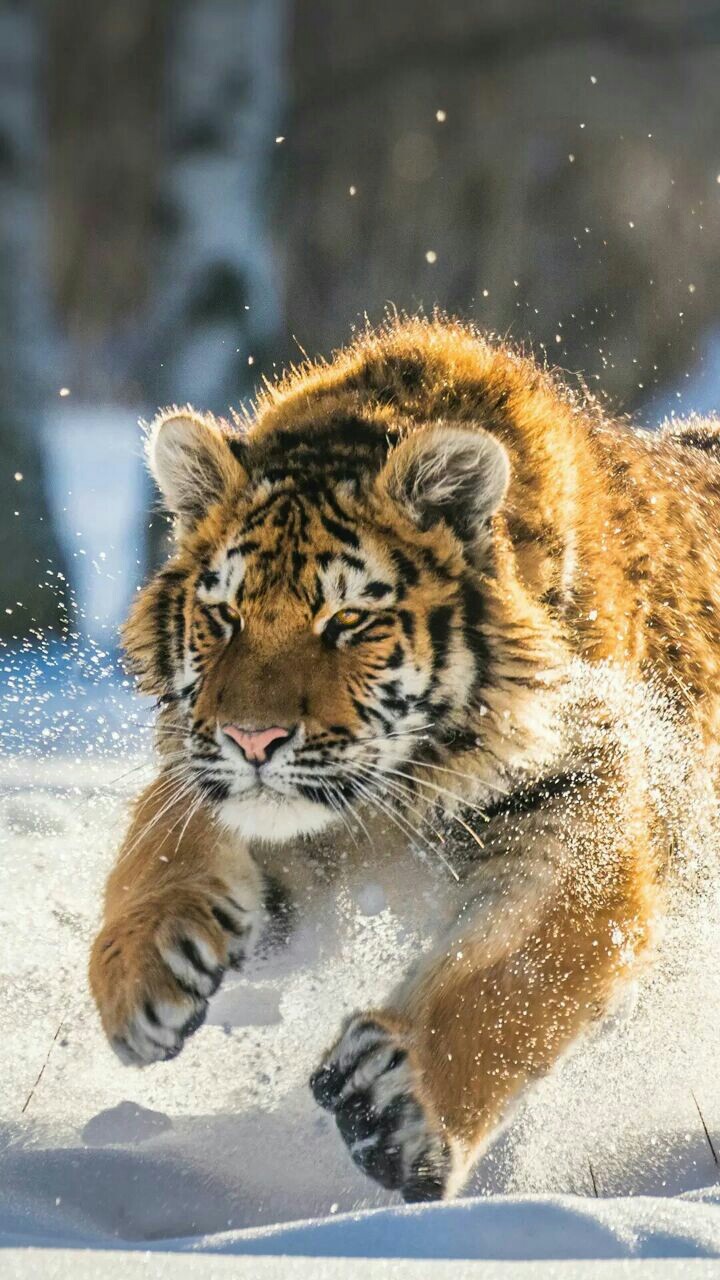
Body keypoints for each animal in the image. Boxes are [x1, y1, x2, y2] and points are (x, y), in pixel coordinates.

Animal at [89, 316, 720, 1203]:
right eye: (224, 615)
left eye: (349, 620)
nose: (253, 740)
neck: (396, 795)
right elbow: (161, 842)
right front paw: (138, 979)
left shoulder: (585, 820)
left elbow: (514, 979)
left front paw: (396, 1106)